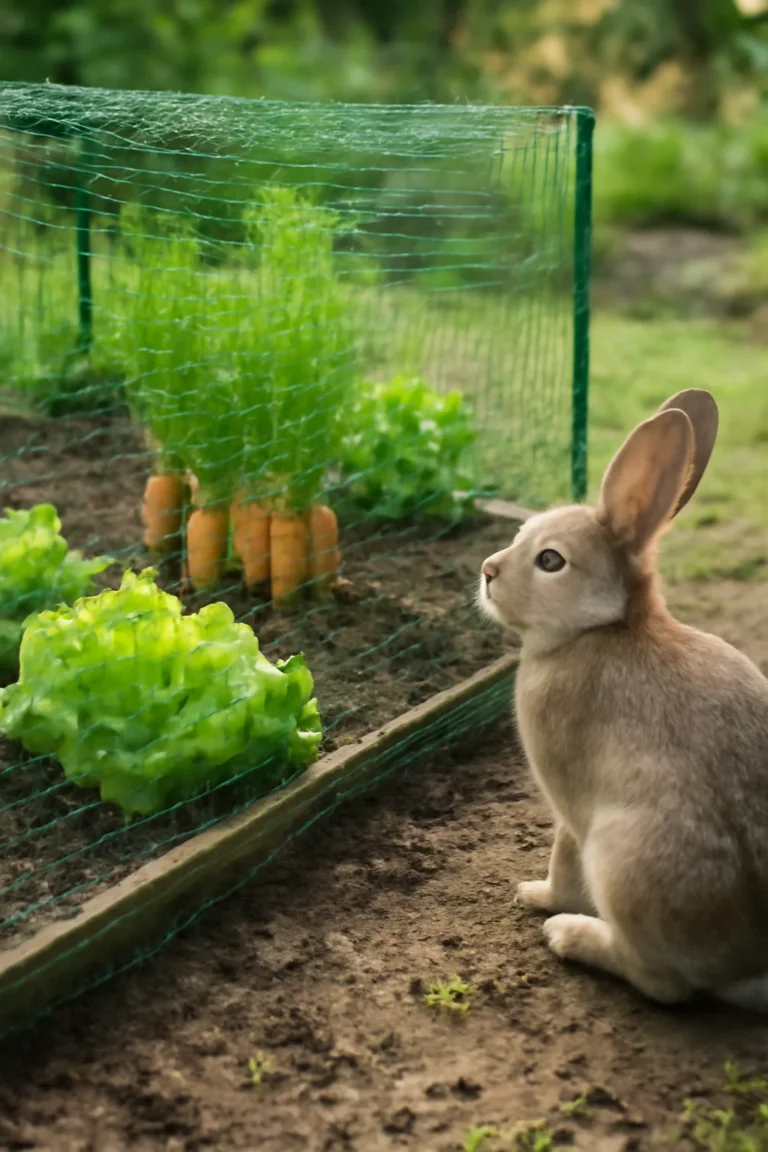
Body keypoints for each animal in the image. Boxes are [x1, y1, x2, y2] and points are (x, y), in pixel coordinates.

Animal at [478, 388, 768, 1009]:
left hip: (620, 855)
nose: (487, 571)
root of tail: (748, 967)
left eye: (550, 560)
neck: (602, 626)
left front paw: (536, 894)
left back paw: (570, 935)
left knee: (664, 984)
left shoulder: (568, 801)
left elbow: (563, 857)